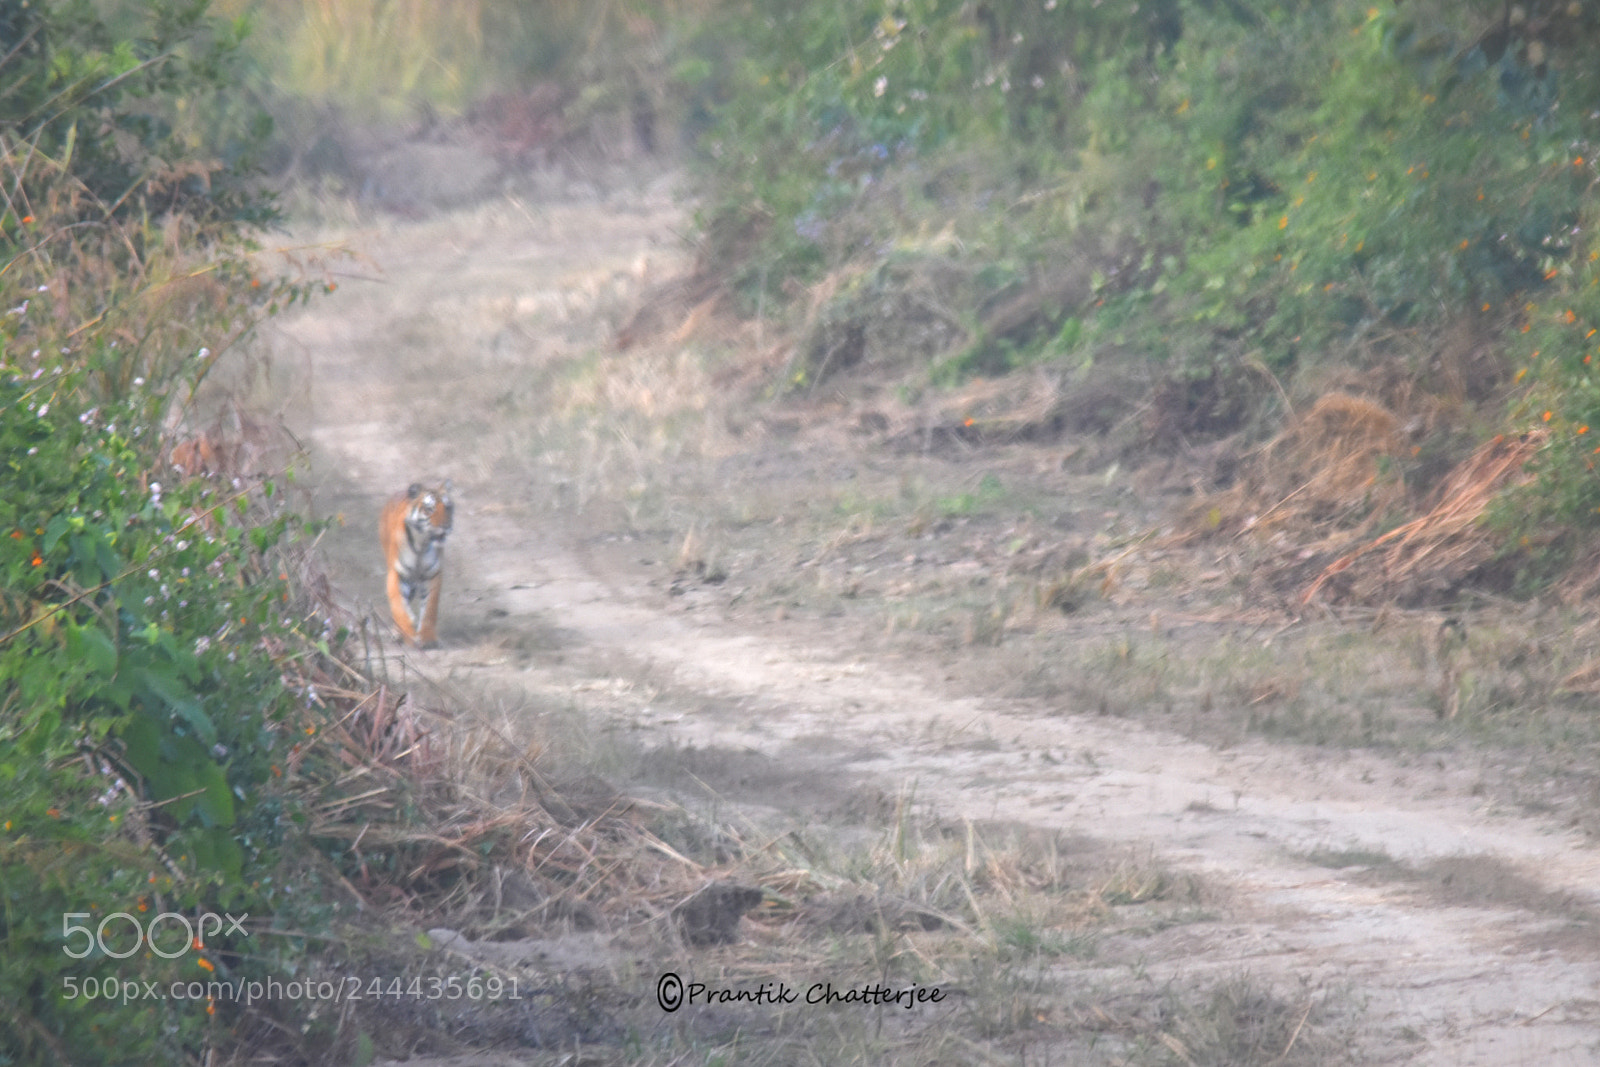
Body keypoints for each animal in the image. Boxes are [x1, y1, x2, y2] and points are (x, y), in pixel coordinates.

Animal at [380, 480, 454, 648]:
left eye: (448, 507)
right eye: (429, 509)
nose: (446, 527)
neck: (422, 543)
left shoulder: (432, 574)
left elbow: (430, 609)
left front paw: (427, 638)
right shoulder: (397, 573)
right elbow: (399, 606)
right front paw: (408, 633)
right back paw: (398, 632)